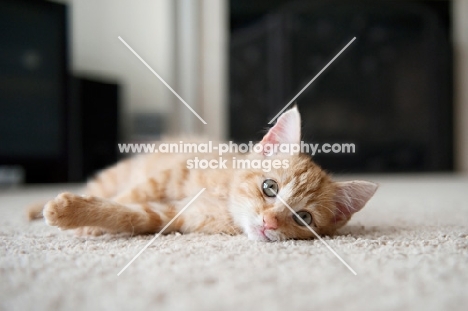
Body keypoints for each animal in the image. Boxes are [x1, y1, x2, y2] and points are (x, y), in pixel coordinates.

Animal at [32, 107, 376, 241]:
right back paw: (32, 210)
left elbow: (130, 213)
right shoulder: (175, 173)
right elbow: (133, 194)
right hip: (119, 173)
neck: (224, 203)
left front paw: (80, 217)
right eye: (269, 187)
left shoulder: (171, 215)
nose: (269, 222)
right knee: (104, 185)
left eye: (303, 218)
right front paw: (76, 218)